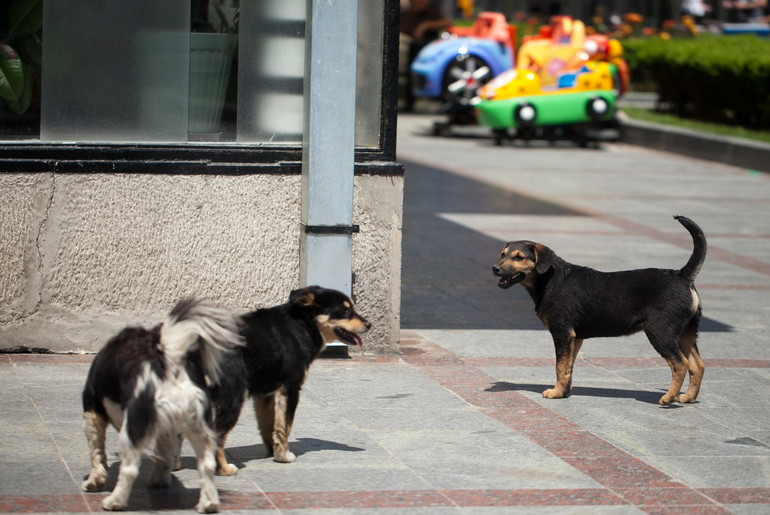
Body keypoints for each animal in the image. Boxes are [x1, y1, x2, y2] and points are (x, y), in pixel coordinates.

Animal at [81, 300, 240, 512]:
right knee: (207, 464)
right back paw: (208, 503)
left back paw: (115, 501)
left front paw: (94, 482)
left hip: (133, 425)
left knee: (129, 469)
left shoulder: (92, 409)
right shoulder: (167, 428)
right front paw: (160, 479)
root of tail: (167, 356)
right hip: (197, 425)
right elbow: (164, 455)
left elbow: (96, 451)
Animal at [208, 288, 368, 474]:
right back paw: (223, 469)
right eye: (345, 311)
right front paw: (284, 456)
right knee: (217, 436)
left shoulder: (265, 393)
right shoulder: (290, 388)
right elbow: (285, 425)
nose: (369, 324)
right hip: (233, 396)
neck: (302, 326)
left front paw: (274, 451)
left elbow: (268, 425)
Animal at [496, 216, 704, 406]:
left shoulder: (562, 332)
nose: (494, 268)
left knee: (680, 364)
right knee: (698, 365)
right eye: (502, 254)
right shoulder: (575, 337)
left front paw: (555, 393)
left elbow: (560, 366)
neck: (549, 279)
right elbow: (568, 367)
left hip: (660, 332)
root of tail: (683, 276)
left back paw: (669, 398)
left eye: (519, 257)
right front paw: (563, 392)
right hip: (686, 333)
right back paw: (688, 397)